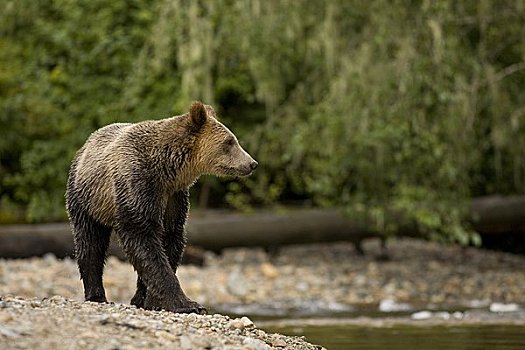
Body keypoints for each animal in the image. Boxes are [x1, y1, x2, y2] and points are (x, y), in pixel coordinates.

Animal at [65, 101, 258, 312]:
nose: (252, 163)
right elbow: (143, 239)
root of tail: (87, 143)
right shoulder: (138, 186)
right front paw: (188, 304)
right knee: (90, 243)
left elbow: (170, 238)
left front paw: (146, 299)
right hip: (87, 199)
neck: (167, 170)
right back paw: (96, 295)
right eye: (229, 142)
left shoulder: (174, 197)